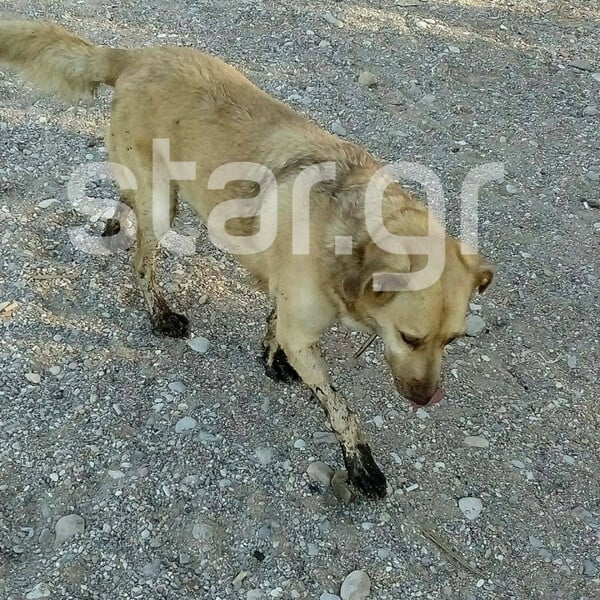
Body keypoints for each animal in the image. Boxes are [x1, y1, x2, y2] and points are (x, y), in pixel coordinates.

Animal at [1, 19, 492, 496]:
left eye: (452, 340)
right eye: (410, 338)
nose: (427, 399)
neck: (349, 228)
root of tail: (136, 55)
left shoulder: (290, 306)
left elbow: (275, 324)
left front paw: (272, 360)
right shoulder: (305, 333)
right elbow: (340, 405)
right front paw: (361, 464)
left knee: (127, 202)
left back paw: (113, 223)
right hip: (162, 205)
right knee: (142, 262)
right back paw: (160, 313)